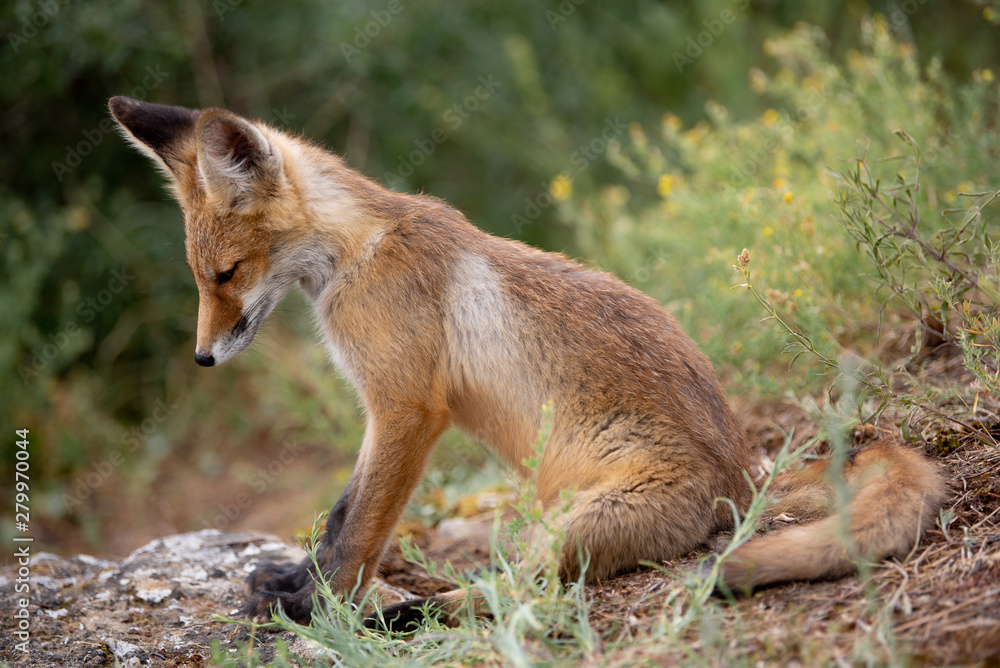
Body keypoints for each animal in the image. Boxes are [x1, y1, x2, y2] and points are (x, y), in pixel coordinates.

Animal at [109, 96, 944, 628]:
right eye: (200, 277)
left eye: (227, 274)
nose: (202, 356)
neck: (358, 252)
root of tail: (743, 483)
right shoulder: (388, 415)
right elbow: (340, 517)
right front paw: (291, 587)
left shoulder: (405, 411)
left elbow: (354, 535)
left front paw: (313, 614)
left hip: (573, 524)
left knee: (532, 595)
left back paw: (410, 617)